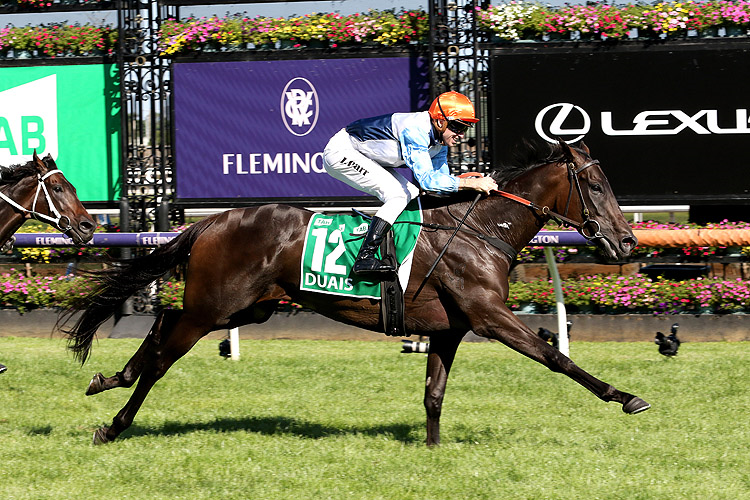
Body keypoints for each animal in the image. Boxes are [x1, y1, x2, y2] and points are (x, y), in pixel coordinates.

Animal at [63, 141, 652, 446]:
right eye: (594, 186)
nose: (627, 242)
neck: (481, 230)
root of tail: (209, 223)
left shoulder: (449, 329)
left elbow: (434, 394)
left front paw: (433, 451)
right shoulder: (488, 316)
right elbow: (556, 357)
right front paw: (626, 396)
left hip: (245, 308)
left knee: (162, 326)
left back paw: (110, 378)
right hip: (215, 307)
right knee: (164, 356)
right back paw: (114, 425)